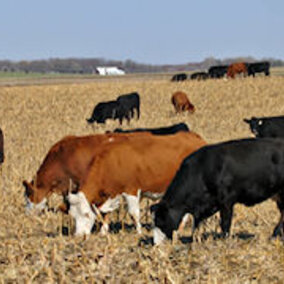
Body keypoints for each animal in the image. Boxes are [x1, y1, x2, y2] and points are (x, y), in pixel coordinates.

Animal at [65, 132, 205, 236]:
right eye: (73, 216)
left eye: (86, 214)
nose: (79, 235)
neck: (113, 160)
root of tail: (196, 138)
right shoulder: (111, 194)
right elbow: (105, 213)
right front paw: (103, 231)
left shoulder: (131, 190)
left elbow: (133, 213)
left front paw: (139, 231)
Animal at [151, 138, 284, 244]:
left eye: (160, 220)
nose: (156, 244)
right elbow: (197, 224)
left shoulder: (226, 201)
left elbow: (225, 223)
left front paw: (224, 240)